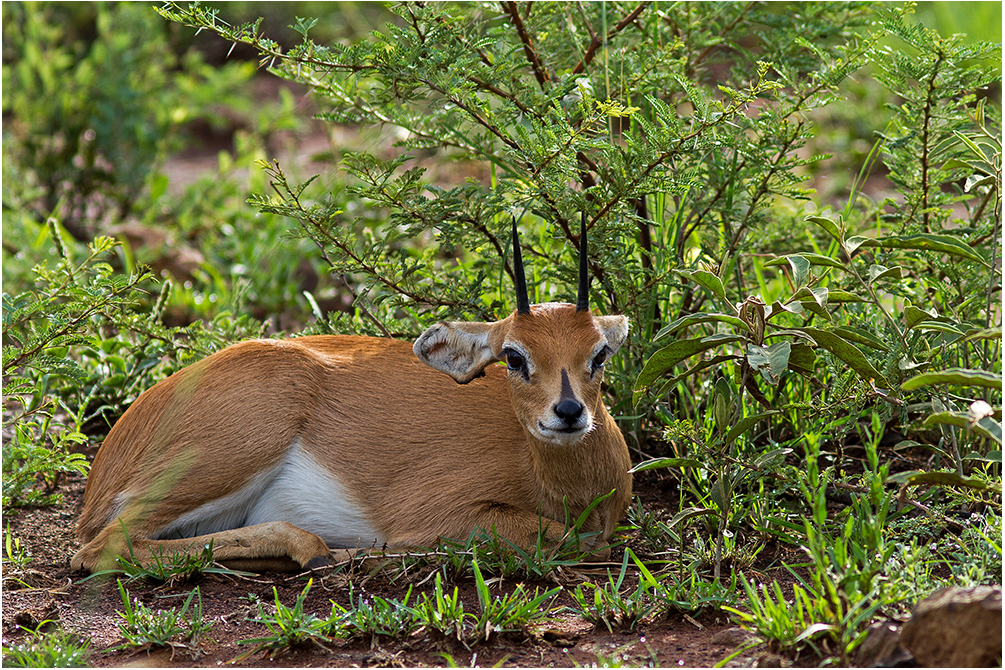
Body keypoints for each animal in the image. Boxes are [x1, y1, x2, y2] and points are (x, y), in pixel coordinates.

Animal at [74, 217, 631, 574]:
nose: (568, 412)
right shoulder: (442, 513)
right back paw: (317, 551)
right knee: (102, 549)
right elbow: (563, 538)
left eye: (599, 353)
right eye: (513, 357)